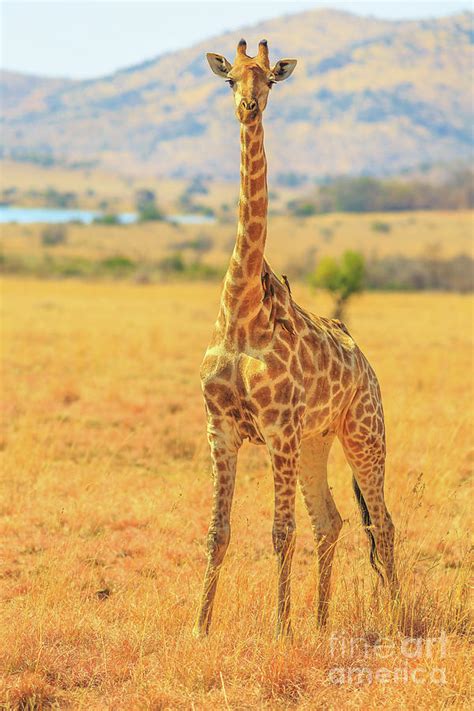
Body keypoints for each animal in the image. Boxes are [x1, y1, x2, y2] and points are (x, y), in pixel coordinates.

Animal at [193, 37, 396, 640]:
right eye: (230, 78)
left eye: (270, 80)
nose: (248, 107)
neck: (240, 309)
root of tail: (366, 364)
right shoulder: (222, 428)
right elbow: (217, 531)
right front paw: (200, 627)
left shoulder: (278, 428)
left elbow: (281, 532)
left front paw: (279, 630)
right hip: (316, 440)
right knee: (332, 521)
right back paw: (323, 624)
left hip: (363, 433)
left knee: (382, 522)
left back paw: (396, 615)